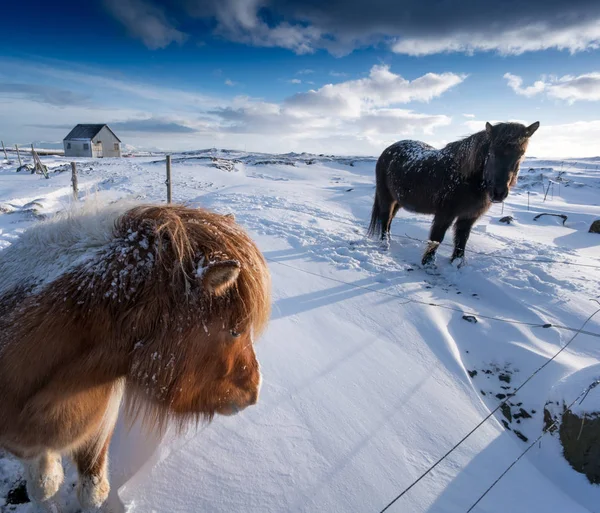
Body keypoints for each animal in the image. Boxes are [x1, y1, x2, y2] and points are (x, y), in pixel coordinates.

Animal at [0, 202, 270, 512]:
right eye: (235, 330)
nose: (254, 390)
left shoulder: (98, 432)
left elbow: (93, 493)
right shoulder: (25, 448)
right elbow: (44, 490)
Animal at [368, 120, 540, 264]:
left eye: (520, 155)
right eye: (492, 153)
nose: (498, 193)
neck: (466, 179)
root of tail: (387, 151)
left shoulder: (469, 216)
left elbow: (461, 241)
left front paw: (456, 264)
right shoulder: (445, 214)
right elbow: (437, 238)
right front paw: (428, 264)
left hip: (399, 201)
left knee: (389, 220)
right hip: (386, 197)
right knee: (385, 219)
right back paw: (385, 244)